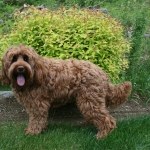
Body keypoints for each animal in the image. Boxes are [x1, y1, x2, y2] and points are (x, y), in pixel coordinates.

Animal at [1, 44, 132, 139]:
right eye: (13, 59)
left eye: (26, 58)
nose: (20, 68)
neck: (34, 75)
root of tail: (103, 73)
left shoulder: (38, 104)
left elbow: (36, 119)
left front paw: (32, 132)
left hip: (89, 99)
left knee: (106, 119)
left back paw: (102, 135)